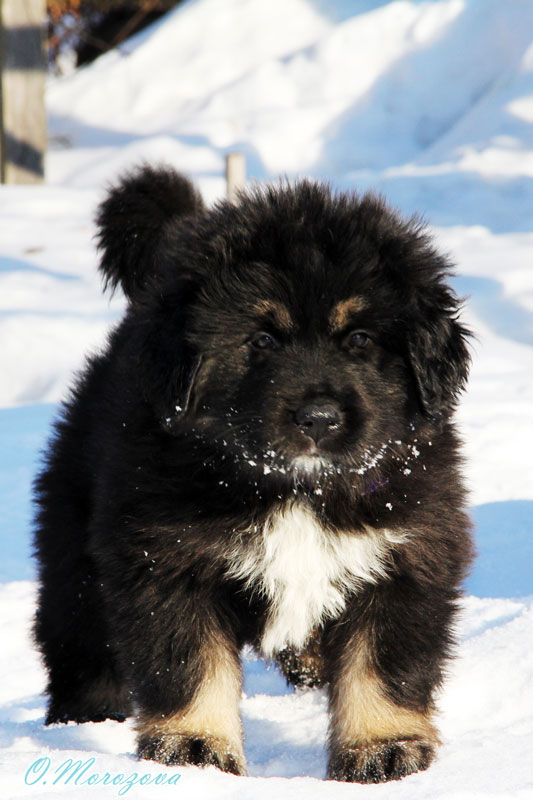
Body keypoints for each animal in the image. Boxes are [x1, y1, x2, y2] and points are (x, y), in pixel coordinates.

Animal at [34, 166, 474, 784]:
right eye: (262, 340)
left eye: (360, 339)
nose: (318, 417)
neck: (296, 490)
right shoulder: (165, 558)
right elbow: (189, 662)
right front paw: (193, 749)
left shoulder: (406, 552)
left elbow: (384, 663)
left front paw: (384, 749)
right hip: (75, 540)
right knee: (78, 632)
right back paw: (82, 720)